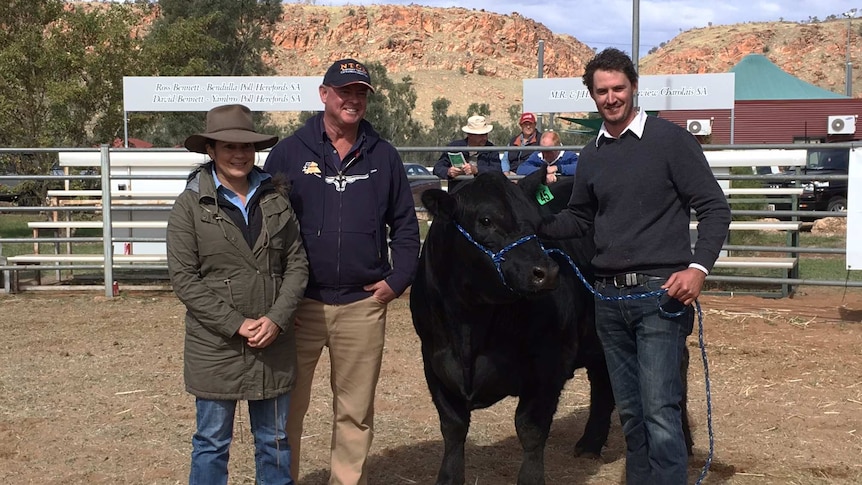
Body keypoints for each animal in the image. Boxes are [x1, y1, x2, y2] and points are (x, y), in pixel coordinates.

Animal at [410, 170, 696, 484]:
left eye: (537, 221)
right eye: (485, 220)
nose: (546, 272)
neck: (470, 332)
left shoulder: (548, 365)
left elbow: (530, 429)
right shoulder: (435, 364)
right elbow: (453, 428)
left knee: (676, 370)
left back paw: (684, 441)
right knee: (603, 379)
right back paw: (589, 444)